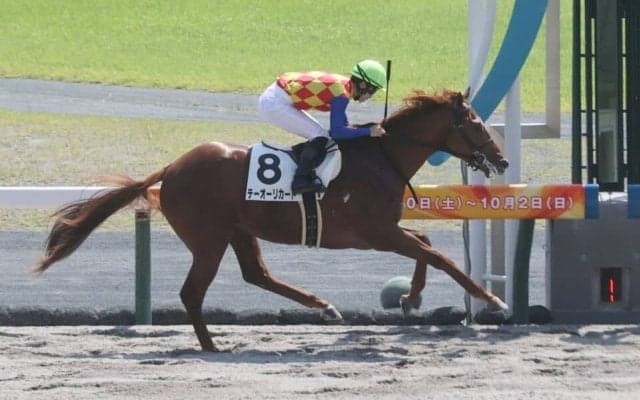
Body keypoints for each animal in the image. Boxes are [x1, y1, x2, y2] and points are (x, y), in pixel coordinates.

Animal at [34, 88, 509, 352]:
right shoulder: (374, 232)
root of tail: (171, 168)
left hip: (240, 231)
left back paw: (324, 306)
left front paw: (411, 298)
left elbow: (426, 243)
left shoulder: (385, 231)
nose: (502, 160)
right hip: (209, 239)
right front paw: (492, 300)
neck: (382, 157)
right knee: (193, 292)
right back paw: (212, 346)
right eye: (475, 122)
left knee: (256, 274)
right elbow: (438, 254)